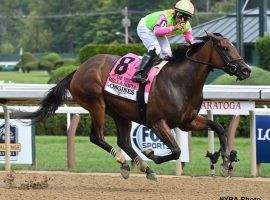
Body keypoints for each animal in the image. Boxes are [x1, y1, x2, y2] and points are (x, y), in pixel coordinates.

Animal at [18, 32, 251, 180]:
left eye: (234, 46)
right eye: (224, 48)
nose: (246, 70)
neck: (180, 81)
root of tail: (78, 69)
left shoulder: (187, 121)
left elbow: (218, 128)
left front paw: (225, 160)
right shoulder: (157, 122)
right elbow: (176, 150)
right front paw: (152, 153)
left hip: (121, 113)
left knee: (124, 141)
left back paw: (144, 168)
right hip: (96, 104)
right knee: (97, 137)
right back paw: (125, 162)